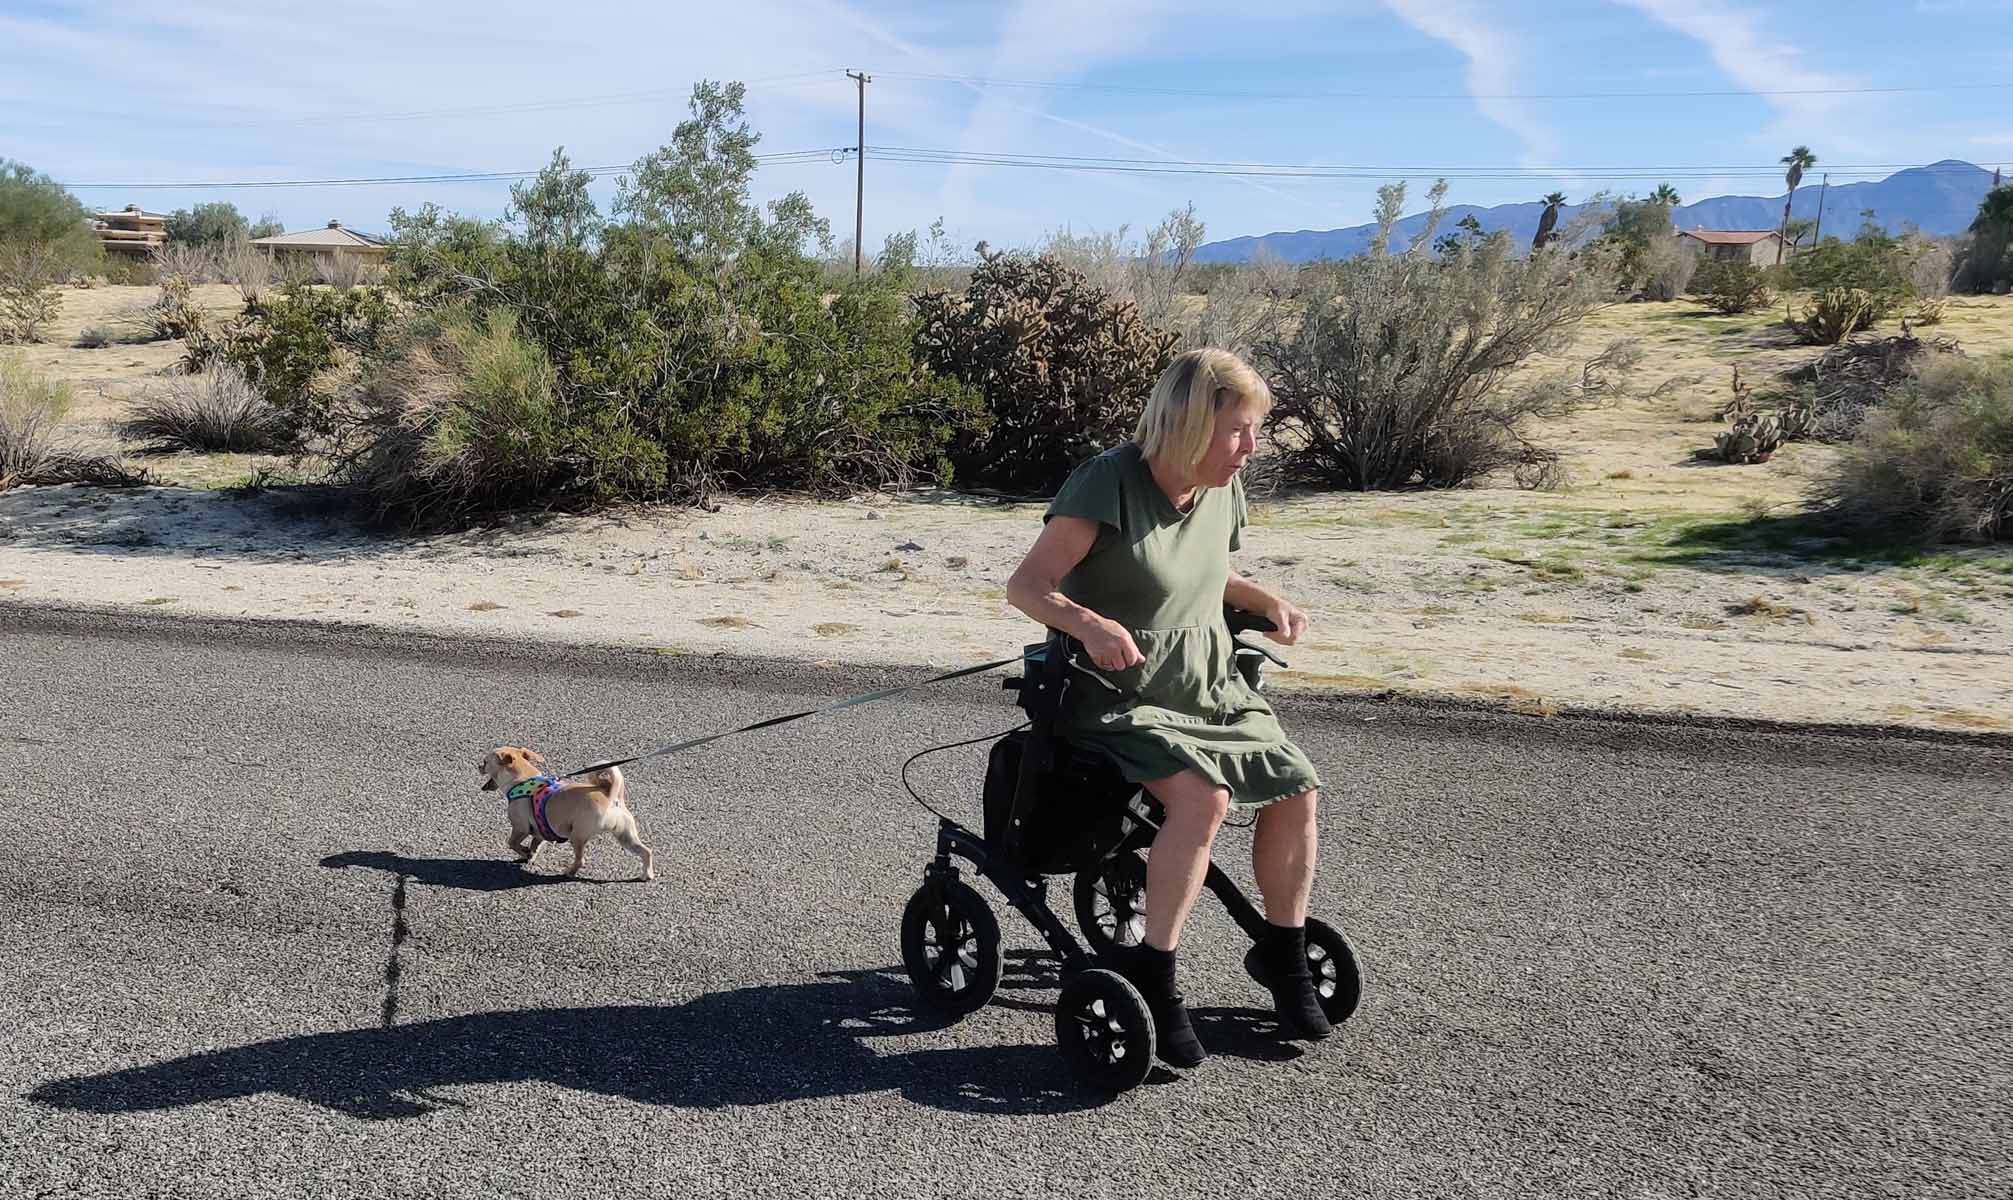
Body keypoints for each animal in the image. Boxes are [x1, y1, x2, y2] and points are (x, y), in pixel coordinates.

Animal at [477, 746, 655, 881]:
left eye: (485, 762)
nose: (478, 766)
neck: (522, 779)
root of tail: (610, 796)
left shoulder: (520, 828)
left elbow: (512, 843)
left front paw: (525, 852)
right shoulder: (540, 831)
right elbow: (535, 845)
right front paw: (530, 855)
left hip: (577, 836)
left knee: (580, 860)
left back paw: (569, 872)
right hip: (625, 836)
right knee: (646, 851)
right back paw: (647, 874)